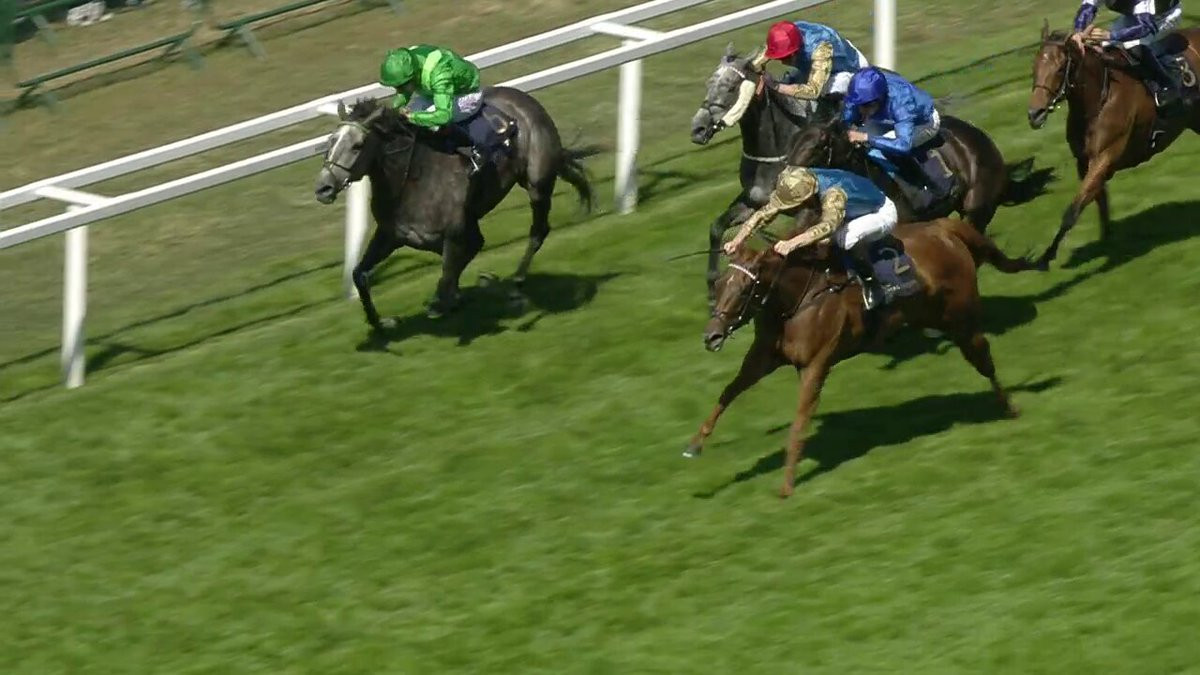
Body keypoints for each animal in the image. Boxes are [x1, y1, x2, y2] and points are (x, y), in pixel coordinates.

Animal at [314, 91, 598, 330]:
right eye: (331, 141)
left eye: (358, 145)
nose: (323, 188)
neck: (413, 177)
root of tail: (525, 100)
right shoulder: (392, 234)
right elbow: (359, 274)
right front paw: (381, 322)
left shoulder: (453, 233)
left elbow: (447, 276)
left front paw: (444, 302)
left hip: (538, 183)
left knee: (538, 231)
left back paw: (517, 283)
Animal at [683, 208, 1038, 498]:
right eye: (719, 284)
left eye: (745, 289)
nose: (711, 336)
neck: (799, 297)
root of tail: (943, 227)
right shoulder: (764, 356)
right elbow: (729, 392)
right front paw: (694, 445)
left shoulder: (816, 364)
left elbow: (800, 419)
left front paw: (786, 484)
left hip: (960, 316)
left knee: (983, 359)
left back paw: (1010, 407)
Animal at [689, 44, 821, 306]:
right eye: (709, 83)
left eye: (731, 87)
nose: (697, 128)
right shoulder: (754, 202)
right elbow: (716, 228)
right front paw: (712, 292)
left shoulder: (804, 211)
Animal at [1027, 22, 1200, 268]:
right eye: (1035, 67)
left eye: (1060, 68)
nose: (1035, 114)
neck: (1099, 99)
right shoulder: (1084, 162)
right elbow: (1099, 201)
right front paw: (1107, 239)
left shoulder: (1105, 157)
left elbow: (1073, 210)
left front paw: (1046, 257)